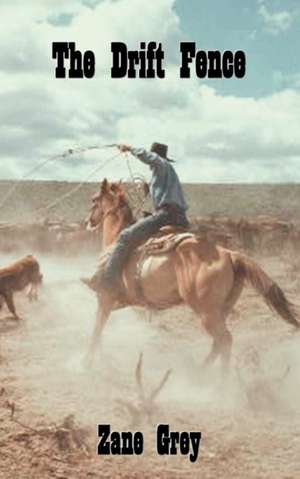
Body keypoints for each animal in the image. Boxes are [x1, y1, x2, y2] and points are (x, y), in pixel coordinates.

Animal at [82, 180, 300, 372]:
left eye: (94, 199)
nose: (88, 222)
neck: (115, 238)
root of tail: (229, 254)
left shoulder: (105, 297)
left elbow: (96, 330)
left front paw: (87, 364)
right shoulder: (119, 301)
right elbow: (99, 328)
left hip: (206, 313)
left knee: (225, 340)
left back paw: (220, 382)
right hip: (221, 310)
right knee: (218, 343)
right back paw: (200, 374)